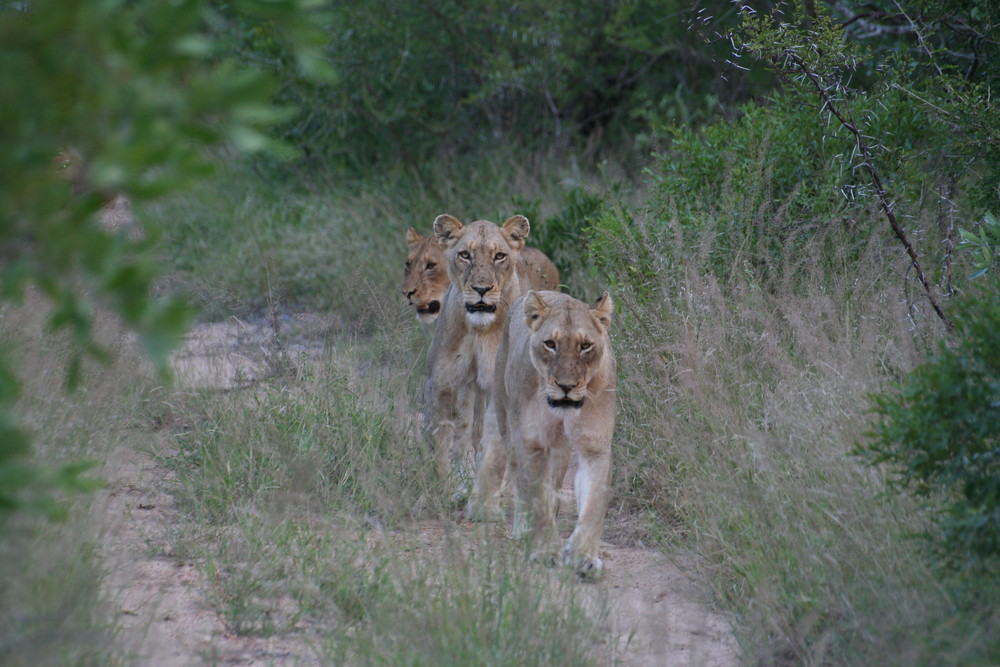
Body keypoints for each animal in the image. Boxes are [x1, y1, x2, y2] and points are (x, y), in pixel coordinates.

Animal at [422, 215, 536, 500]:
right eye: (465, 254)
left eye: (499, 256)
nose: (481, 289)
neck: (477, 329)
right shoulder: (439, 383)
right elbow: (439, 440)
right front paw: (441, 488)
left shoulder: (501, 390)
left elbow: (496, 448)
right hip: (468, 388)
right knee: (465, 430)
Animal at [472, 290, 612, 580]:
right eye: (550, 344)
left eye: (585, 346)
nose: (566, 386)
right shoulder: (532, 442)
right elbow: (536, 497)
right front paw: (546, 549)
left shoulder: (594, 445)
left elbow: (594, 504)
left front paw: (583, 557)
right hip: (508, 423)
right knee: (518, 478)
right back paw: (523, 529)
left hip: (558, 450)